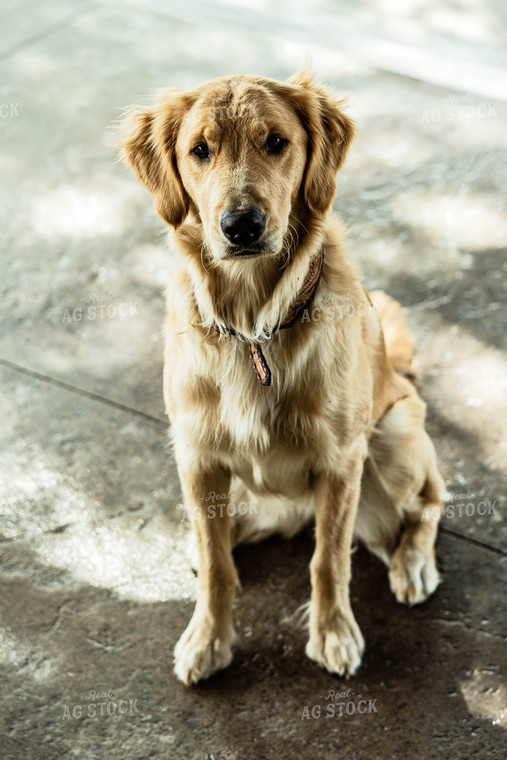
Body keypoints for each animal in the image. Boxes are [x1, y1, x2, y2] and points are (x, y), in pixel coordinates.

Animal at [119, 71, 444, 684]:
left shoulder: (341, 462)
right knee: (220, 538)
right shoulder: (197, 459)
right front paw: (208, 639)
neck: (254, 328)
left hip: (397, 437)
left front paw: (333, 632)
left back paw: (413, 563)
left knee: (430, 502)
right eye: (200, 150)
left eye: (275, 143)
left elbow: (328, 560)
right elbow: (218, 567)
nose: (241, 226)